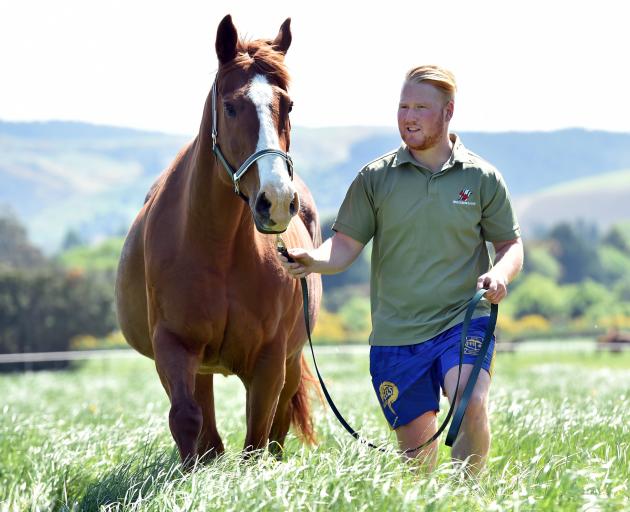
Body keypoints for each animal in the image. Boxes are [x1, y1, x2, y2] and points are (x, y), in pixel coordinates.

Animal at [117, 17, 326, 464]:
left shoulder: (269, 361)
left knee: (279, 424)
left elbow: (258, 437)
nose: (276, 200)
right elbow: (188, 422)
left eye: (288, 106)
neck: (219, 248)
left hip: (290, 359)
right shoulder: (175, 347)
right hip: (201, 366)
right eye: (230, 107)